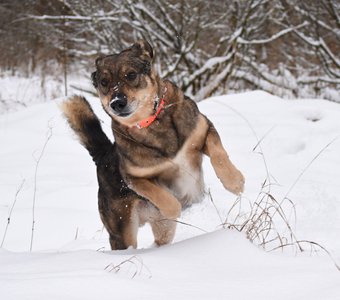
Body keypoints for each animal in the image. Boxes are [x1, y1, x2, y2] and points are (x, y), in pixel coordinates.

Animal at [61, 40, 244, 251]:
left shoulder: (203, 129)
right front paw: (175, 208)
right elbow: (159, 194)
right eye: (104, 82)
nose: (117, 103)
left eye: (131, 75)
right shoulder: (134, 177)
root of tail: (103, 156)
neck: (151, 122)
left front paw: (234, 181)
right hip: (122, 229)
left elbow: (218, 153)